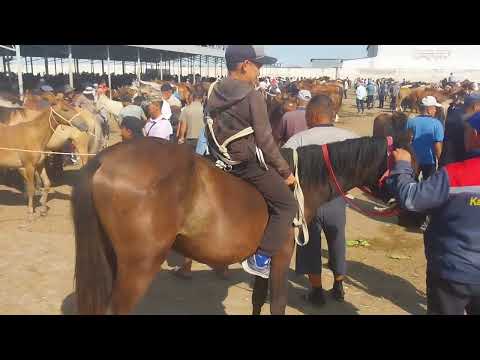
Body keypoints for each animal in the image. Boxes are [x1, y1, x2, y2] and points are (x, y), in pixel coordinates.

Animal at [73, 136, 400, 314]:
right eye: (400, 159)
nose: (398, 203)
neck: (299, 182)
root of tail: (104, 158)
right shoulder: (281, 256)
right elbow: (277, 304)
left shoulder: (264, 258)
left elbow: (257, 299)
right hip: (140, 265)